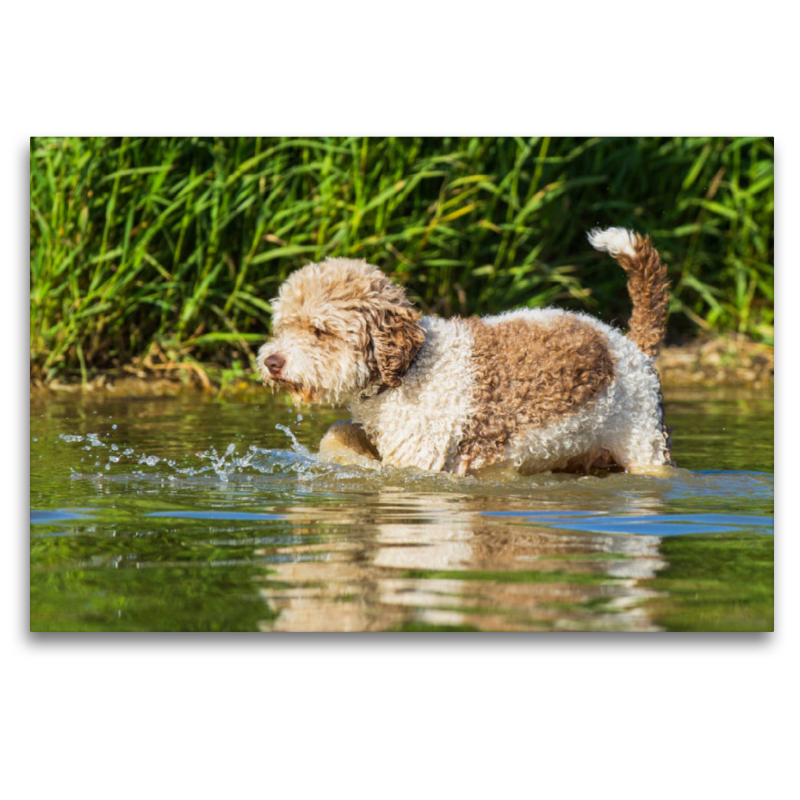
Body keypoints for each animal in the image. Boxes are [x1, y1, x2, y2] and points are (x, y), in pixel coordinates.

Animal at [258, 227, 676, 476]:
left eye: (320, 330)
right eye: (283, 326)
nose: (271, 362)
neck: (410, 369)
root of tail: (629, 342)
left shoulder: (420, 461)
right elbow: (338, 432)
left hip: (644, 443)